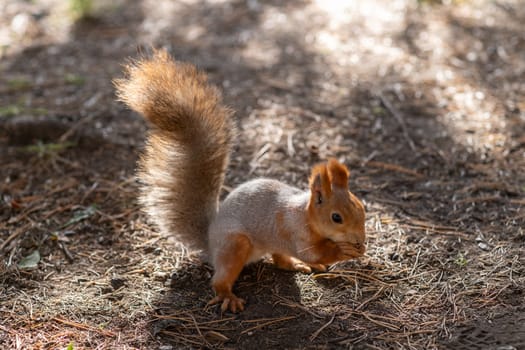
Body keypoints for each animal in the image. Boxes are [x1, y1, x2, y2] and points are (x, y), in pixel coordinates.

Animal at [114, 49, 364, 312]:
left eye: (361, 208)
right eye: (336, 217)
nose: (360, 240)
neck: (305, 214)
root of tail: (211, 242)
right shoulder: (295, 231)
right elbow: (312, 252)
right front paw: (345, 250)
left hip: (269, 244)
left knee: (280, 260)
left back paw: (295, 265)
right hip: (235, 245)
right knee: (220, 278)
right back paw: (228, 296)